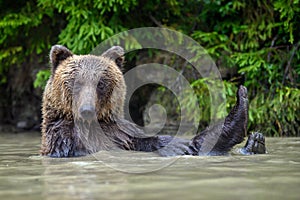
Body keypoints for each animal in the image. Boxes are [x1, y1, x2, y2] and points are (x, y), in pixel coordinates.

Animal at [40, 45, 268, 158]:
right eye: (76, 82)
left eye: (101, 84)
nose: (87, 110)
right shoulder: (66, 137)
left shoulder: (125, 134)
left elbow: (171, 142)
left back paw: (255, 140)